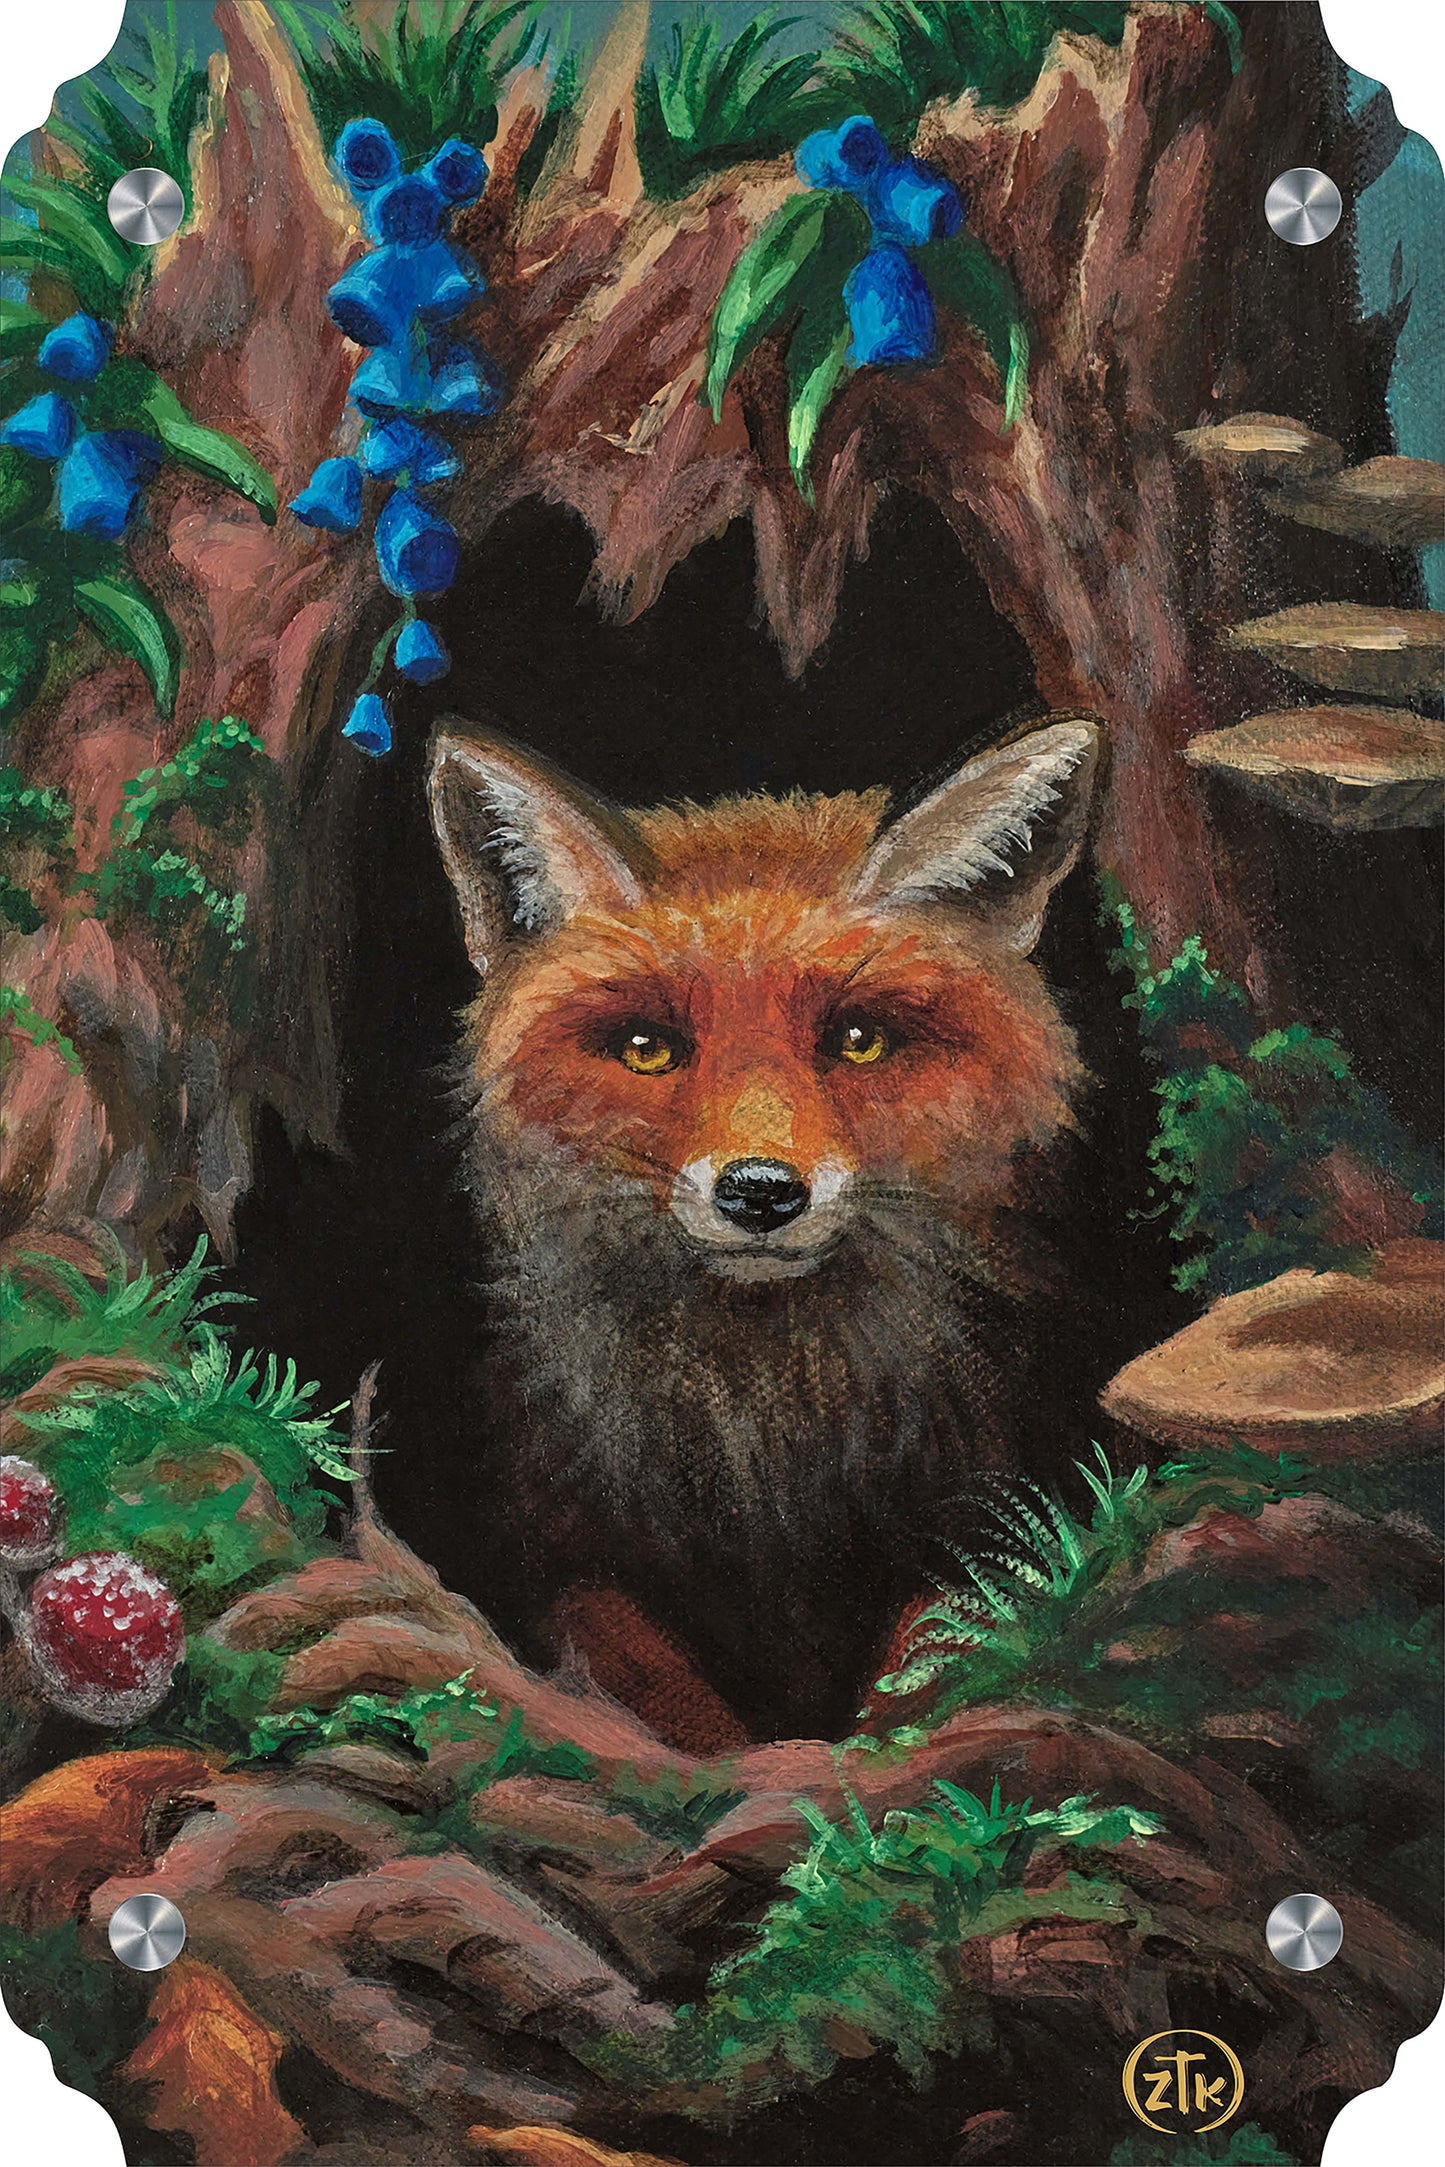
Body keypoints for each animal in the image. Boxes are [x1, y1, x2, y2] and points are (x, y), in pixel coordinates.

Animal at [426, 713, 1101, 1741]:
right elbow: (665, 1701)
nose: (759, 1193)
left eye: (857, 1039)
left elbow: (917, 1676)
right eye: (647, 1048)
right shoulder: (571, 1561)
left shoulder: (978, 1521)